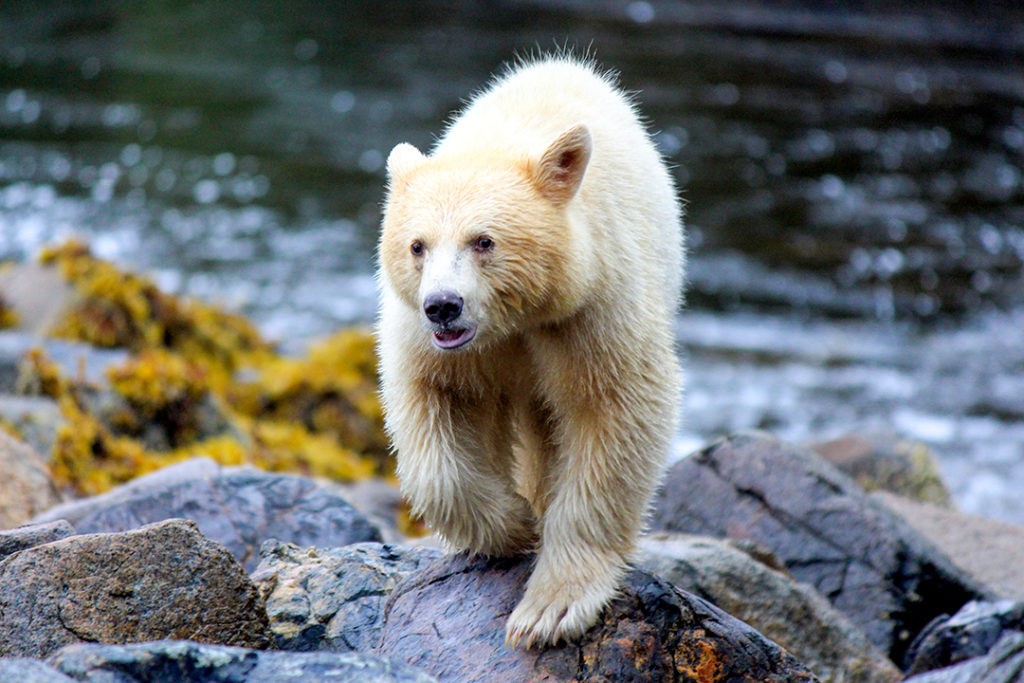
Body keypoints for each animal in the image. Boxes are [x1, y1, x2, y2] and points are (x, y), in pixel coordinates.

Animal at [374, 56, 679, 651]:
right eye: (417, 245)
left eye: (484, 241)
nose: (443, 307)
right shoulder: (436, 343)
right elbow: (433, 409)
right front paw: (512, 523)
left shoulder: (591, 310)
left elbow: (614, 410)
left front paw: (549, 610)